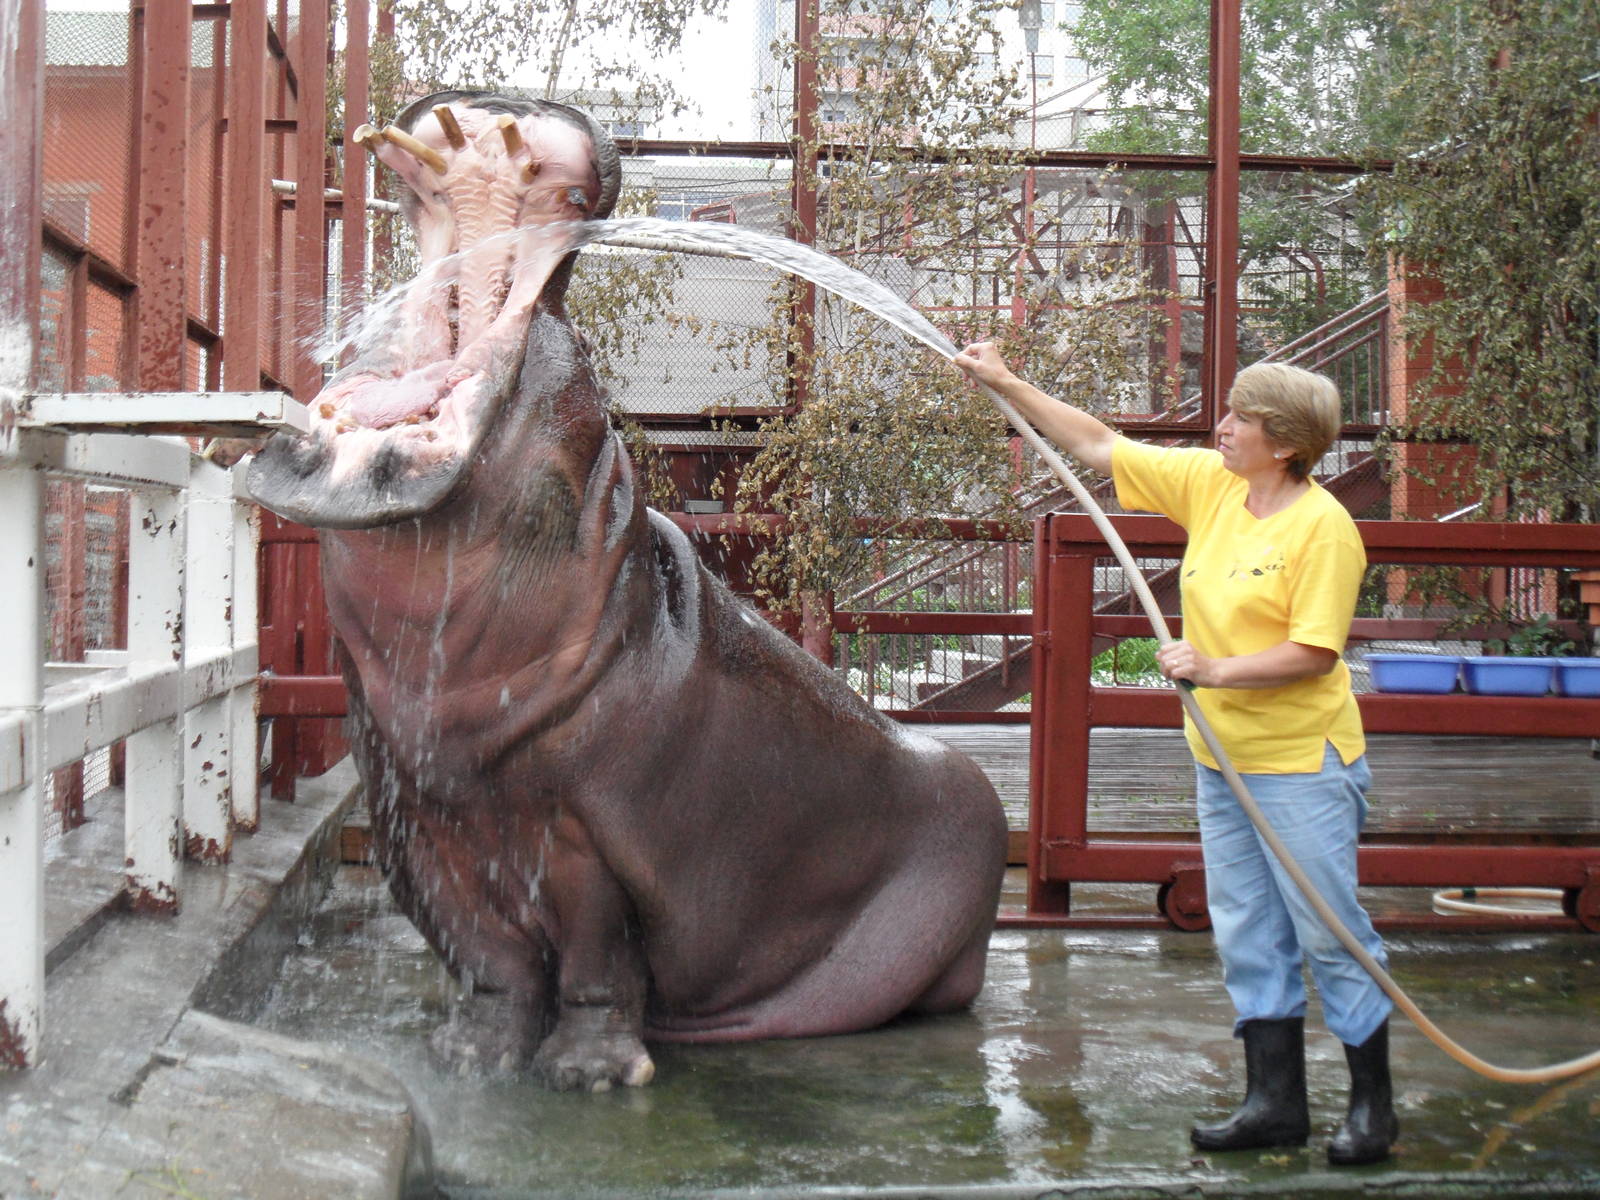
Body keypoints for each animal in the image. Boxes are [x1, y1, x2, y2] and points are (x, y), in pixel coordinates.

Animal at [246, 90, 1008, 1091]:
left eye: (583, 350)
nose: (527, 102)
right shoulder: (417, 819)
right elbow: (487, 961)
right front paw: (470, 1056)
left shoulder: (589, 841)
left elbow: (598, 963)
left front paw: (590, 1076)